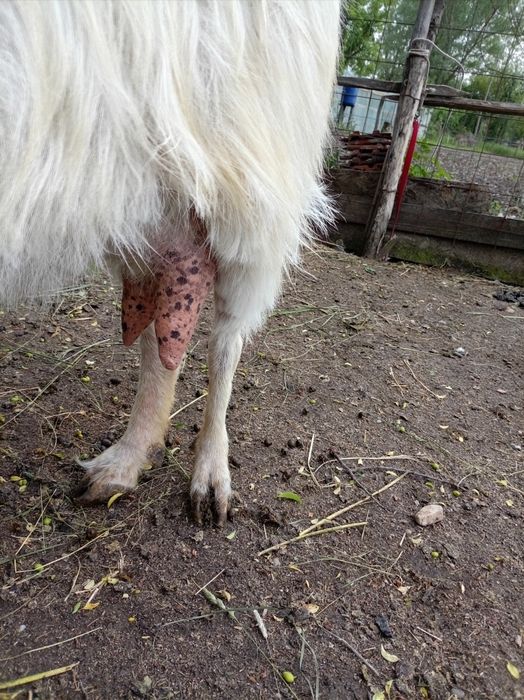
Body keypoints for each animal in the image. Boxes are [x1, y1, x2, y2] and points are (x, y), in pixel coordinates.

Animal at [0, 0, 340, 525]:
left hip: (254, 180)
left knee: (226, 339)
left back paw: (210, 475)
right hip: (158, 208)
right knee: (163, 330)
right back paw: (124, 463)